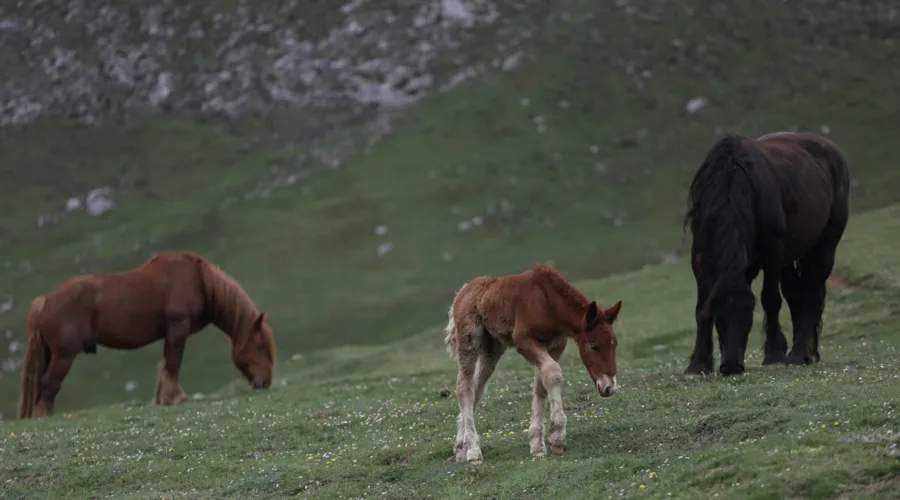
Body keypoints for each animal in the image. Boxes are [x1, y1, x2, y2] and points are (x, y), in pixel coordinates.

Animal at [17, 251, 276, 419]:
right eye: (260, 345)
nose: (265, 383)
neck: (198, 279)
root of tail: (46, 300)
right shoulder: (178, 327)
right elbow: (173, 365)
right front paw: (176, 399)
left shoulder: (170, 333)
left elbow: (164, 365)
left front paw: (162, 399)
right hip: (64, 355)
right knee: (49, 383)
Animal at [443, 264, 623, 464]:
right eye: (593, 346)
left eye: (614, 343)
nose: (609, 387)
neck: (547, 302)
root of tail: (463, 291)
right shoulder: (523, 340)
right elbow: (552, 373)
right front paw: (557, 438)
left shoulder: (555, 345)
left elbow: (541, 385)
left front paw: (537, 444)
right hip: (469, 341)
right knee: (464, 387)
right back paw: (473, 452)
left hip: (492, 348)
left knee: (478, 388)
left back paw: (460, 448)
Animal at [683, 131, 850, 377]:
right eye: (720, 318)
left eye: (748, 317)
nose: (731, 367)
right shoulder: (701, 257)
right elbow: (702, 307)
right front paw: (697, 365)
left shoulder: (773, 253)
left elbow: (770, 299)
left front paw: (774, 355)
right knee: (795, 292)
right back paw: (808, 354)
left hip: (826, 244)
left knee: (812, 293)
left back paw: (798, 354)